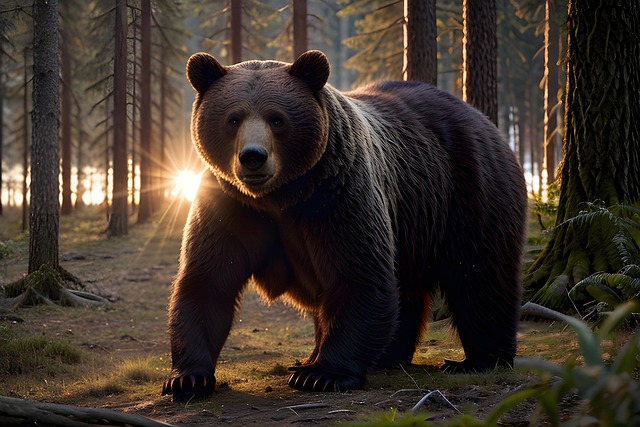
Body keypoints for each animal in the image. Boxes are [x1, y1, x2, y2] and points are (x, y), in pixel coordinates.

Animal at [162, 50, 528, 402]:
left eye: (277, 119)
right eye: (233, 118)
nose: (253, 156)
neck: (279, 196)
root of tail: (481, 117)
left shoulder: (337, 196)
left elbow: (358, 275)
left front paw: (321, 374)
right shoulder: (230, 206)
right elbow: (207, 280)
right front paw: (188, 378)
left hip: (467, 192)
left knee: (480, 275)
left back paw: (478, 360)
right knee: (406, 290)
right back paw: (386, 355)